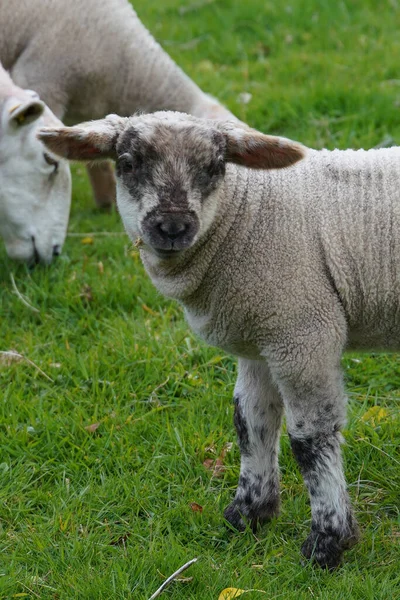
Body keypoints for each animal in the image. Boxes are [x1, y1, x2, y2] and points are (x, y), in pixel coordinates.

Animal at [38, 111, 400, 568]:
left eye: (214, 167)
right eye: (128, 163)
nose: (172, 226)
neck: (247, 214)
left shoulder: (303, 333)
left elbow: (309, 439)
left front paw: (327, 541)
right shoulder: (260, 339)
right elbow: (250, 422)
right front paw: (248, 515)